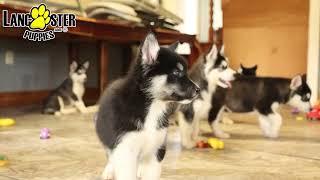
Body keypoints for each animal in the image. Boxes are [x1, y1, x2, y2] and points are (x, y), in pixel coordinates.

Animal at [95, 32, 200, 180]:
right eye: (176, 73)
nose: (198, 90)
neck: (152, 106)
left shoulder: (156, 149)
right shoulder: (125, 150)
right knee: (111, 157)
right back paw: (109, 171)